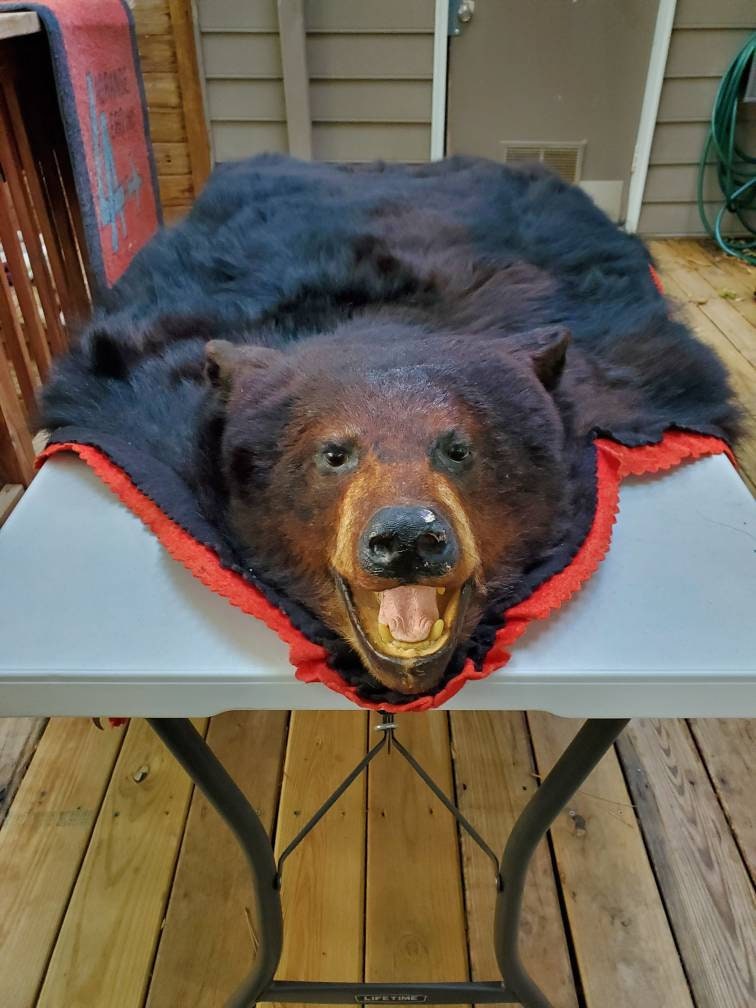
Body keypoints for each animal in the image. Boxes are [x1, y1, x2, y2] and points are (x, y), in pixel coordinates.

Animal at [40, 155, 739, 702]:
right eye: (333, 454)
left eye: (459, 448)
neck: (384, 319)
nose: (407, 537)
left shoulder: (634, 365)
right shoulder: (135, 393)